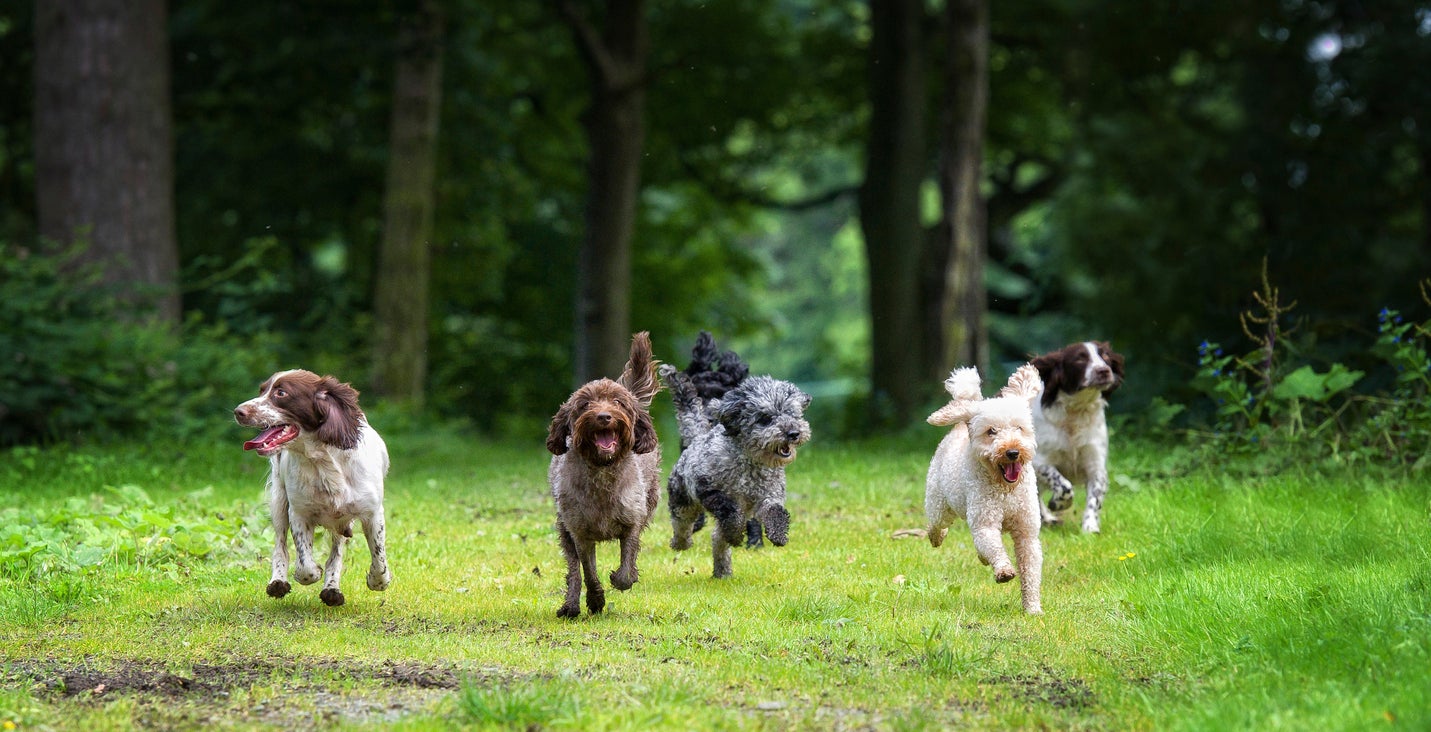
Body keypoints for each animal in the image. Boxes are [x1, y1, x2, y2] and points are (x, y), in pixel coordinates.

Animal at [921, 364, 1047, 611]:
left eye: (1019, 428)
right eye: (991, 431)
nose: (1012, 452)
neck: (1006, 490)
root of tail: (961, 424)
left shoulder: (1026, 530)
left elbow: (1030, 569)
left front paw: (1033, 608)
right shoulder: (985, 522)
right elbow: (993, 545)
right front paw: (1004, 571)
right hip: (939, 503)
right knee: (937, 523)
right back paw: (936, 536)